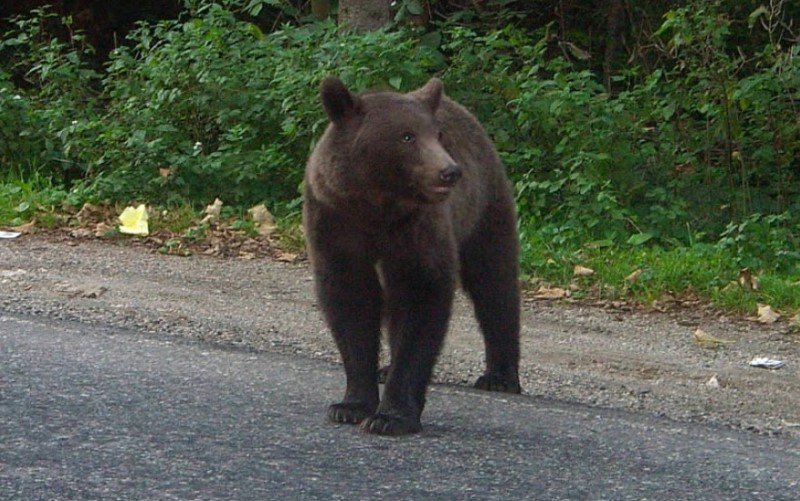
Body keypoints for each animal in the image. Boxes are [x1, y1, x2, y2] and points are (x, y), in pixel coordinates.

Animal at [304, 75, 520, 434]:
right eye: (406, 135)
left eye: (438, 135)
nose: (449, 171)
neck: (377, 207)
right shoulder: (336, 220)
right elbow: (350, 303)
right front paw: (350, 405)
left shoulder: (418, 230)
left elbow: (421, 299)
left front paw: (391, 416)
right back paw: (385, 368)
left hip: (484, 209)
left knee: (494, 283)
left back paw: (500, 376)